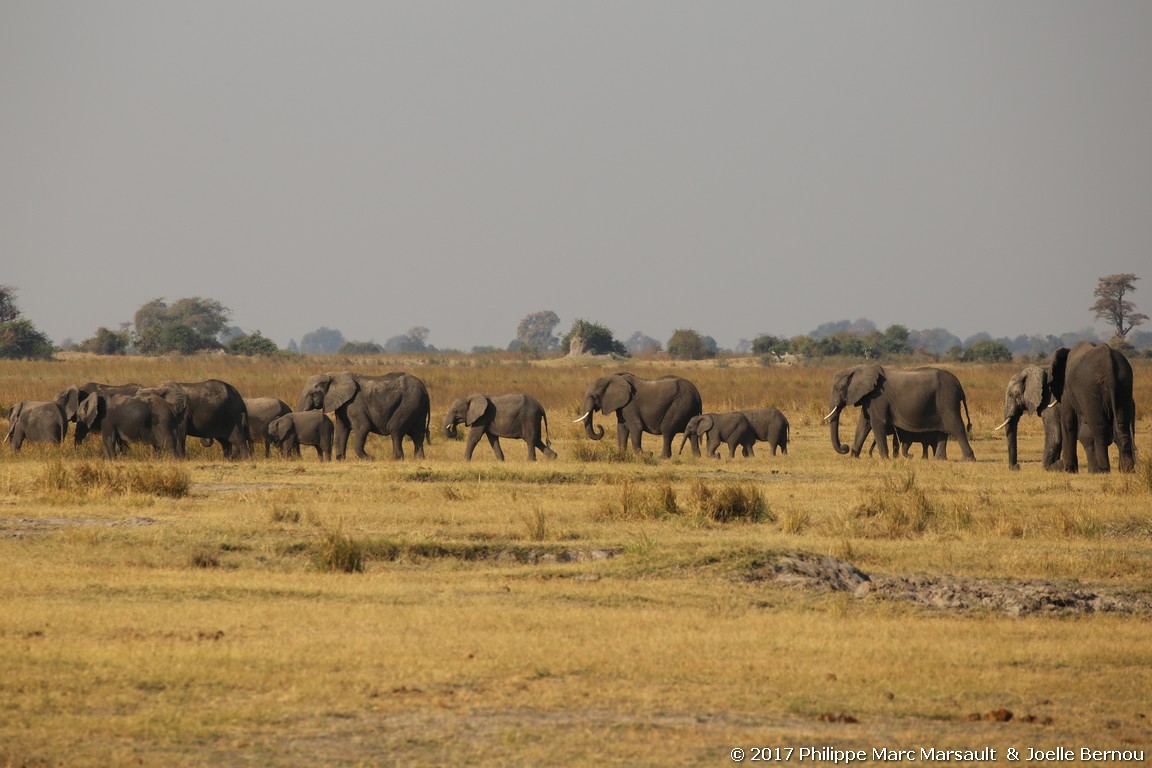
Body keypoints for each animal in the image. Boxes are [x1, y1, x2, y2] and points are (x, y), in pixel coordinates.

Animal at [299, 373, 433, 462]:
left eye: (314, 394)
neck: (333, 375)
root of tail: (425, 391)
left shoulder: (354, 404)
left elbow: (362, 427)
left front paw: (371, 458)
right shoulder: (343, 405)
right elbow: (342, 429)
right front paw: (340, 460)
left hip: (408, 405)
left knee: (396, 432)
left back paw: (397, 459)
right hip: (418, 408)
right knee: (418, 434)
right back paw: (419, 459)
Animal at [824, 366, 976, 462]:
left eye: (836, 388)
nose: (845, 447)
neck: (857, 368)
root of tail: (959, 384)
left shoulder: (878, 397)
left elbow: (877, 423)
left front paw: (885, 460)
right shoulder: (869, 397)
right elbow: (863, 424)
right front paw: (854, 457)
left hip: (947, 400)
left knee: (956, 427)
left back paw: (968, 460)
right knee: (943, 432)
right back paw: (939, 459)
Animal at [1055, 343, 1133, 474]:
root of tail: (1110, 368)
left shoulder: (1066, 389)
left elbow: (1068, 422)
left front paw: (1070, 471)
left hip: (1091, 390)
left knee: (1100, 430)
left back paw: (1103, 469)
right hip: (1124, 384)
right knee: (1121, 427)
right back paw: (1127, 470)